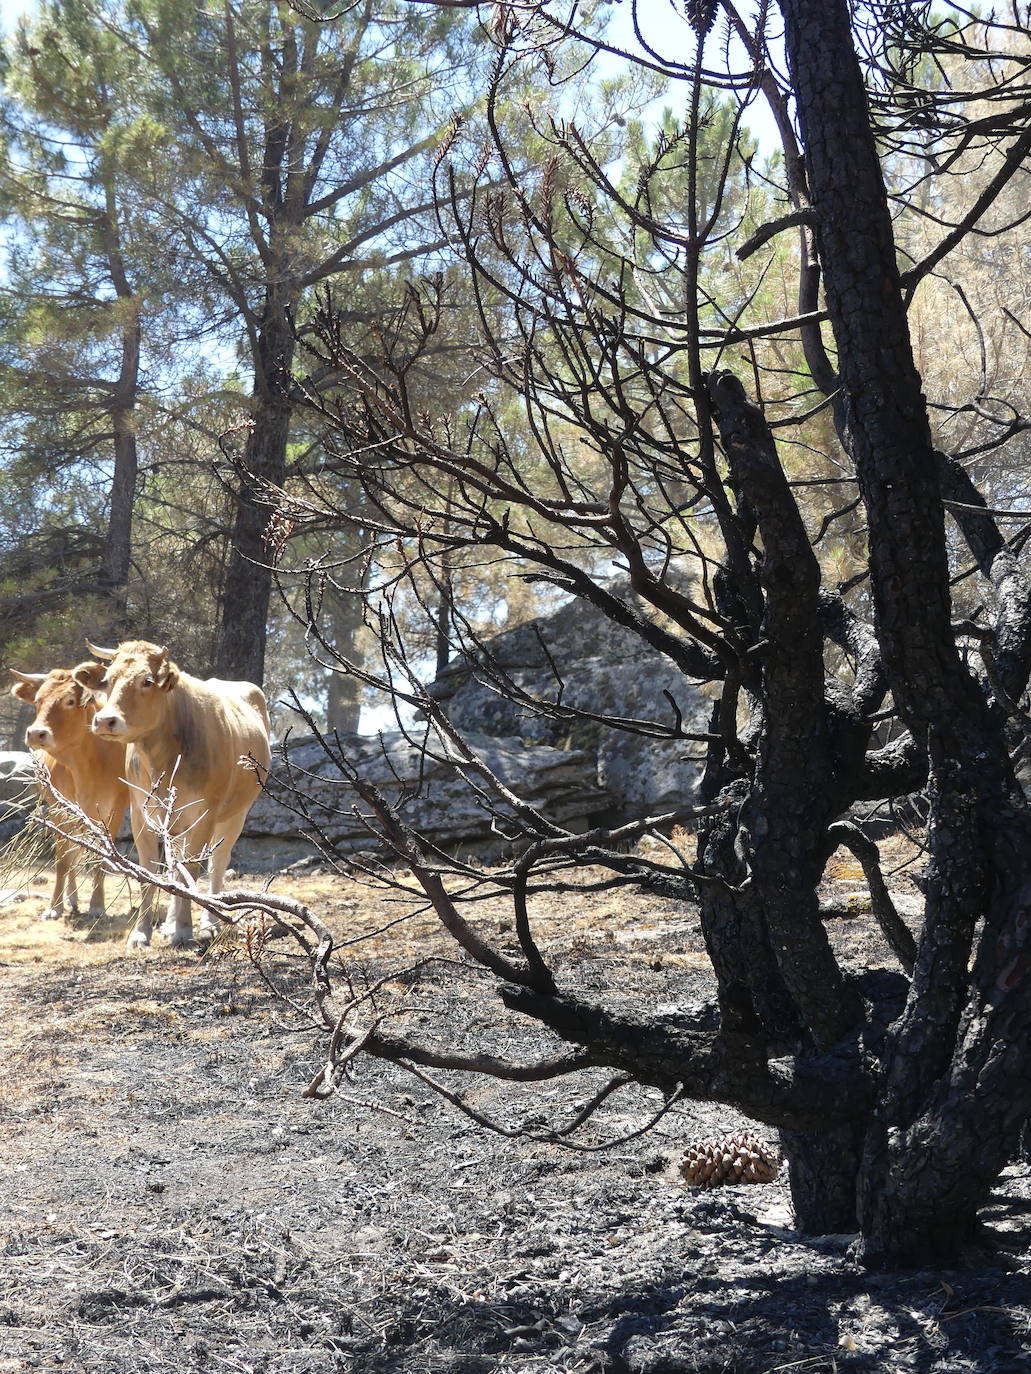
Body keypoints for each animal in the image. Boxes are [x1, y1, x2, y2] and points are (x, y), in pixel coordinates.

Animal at [9, 659, 129, 917]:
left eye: (70, 701)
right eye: (38, 700)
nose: (36, 733)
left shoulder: (114, 809)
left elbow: (101, 857)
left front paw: (97, 905)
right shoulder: (58, 808)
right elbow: (63, 858)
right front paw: (55, 907)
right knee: (72, 850)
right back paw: (71, 899)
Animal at [75, 640, 272, 945]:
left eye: (146, 681)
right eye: (107, 681)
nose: (106, 720)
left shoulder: (205, 814)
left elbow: (192, 870)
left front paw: (184, 930)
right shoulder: (140, 815)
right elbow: (150, 870)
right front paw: (142, 932)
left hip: (235, 813)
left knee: (216, 863)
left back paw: (209, 923)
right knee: (175, 865)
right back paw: (168, 925)